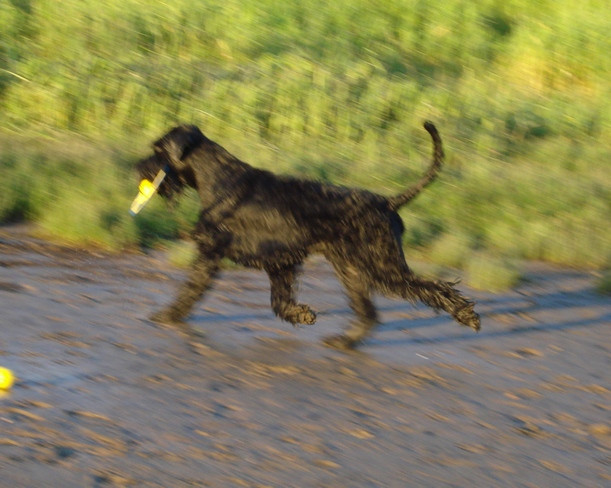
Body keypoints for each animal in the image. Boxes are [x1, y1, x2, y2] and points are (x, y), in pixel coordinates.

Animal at [135, 121, 480, 350]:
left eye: (157, 149)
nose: (138, 167)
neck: (219, 180)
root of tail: (387, 202)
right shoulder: (280, 261)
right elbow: (278, 300)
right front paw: (301, 315)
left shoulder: (211, 254)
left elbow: (190, 290)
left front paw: (166, 316)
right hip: (351, 269)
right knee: (368, 312)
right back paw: (344, 341)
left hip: (381, 265)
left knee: (433, 287)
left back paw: (466, 315)